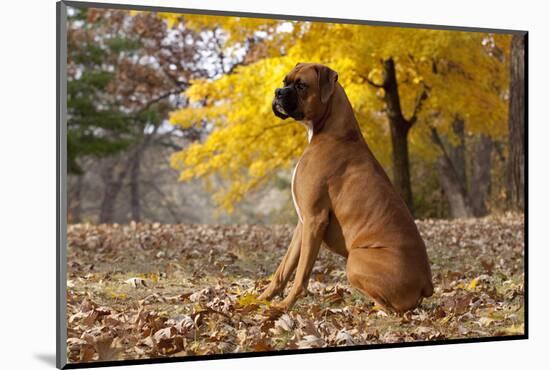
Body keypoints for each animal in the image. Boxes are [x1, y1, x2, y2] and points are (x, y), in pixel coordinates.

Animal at [260, 62, 436, 312]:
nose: (278, 92)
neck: (330, 130)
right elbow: (284, 269)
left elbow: (301, 273)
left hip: (355, 260)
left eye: (301, 85)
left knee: (389, 308)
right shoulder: (303, 223)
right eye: (285, 81)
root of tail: (426, 283)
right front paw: (260, 299)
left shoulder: (314, 219)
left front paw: (284, 306)